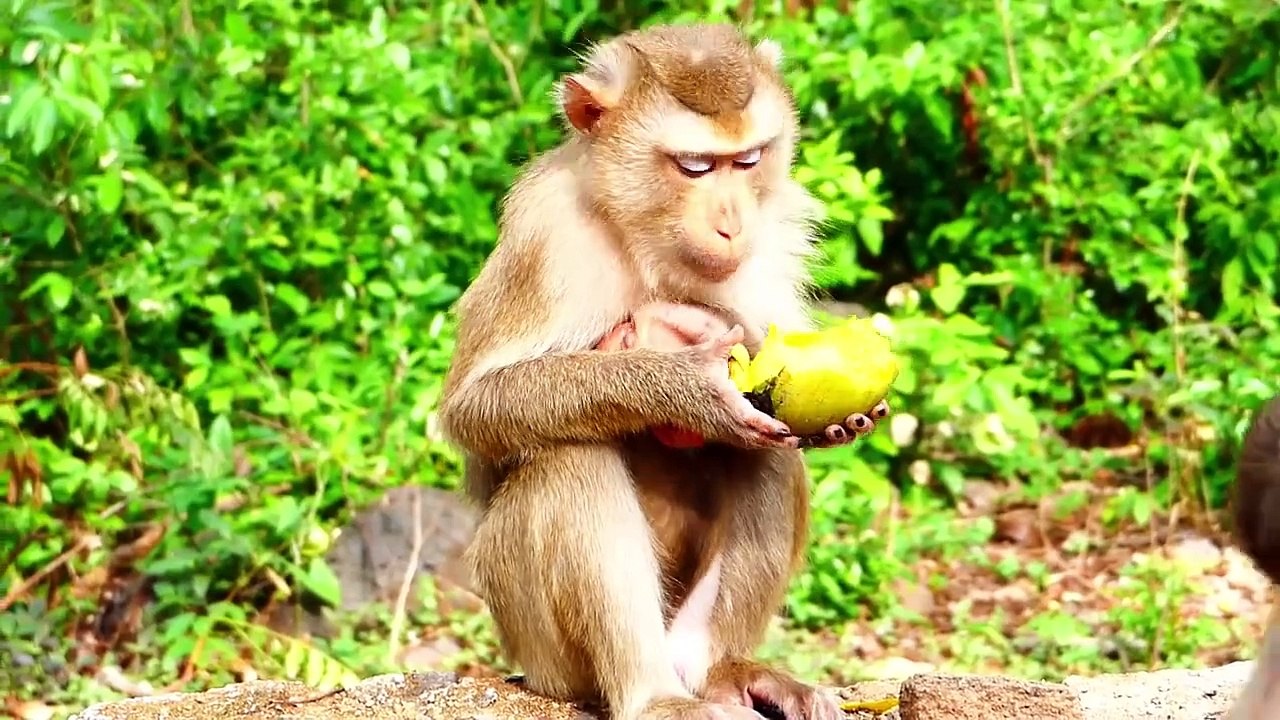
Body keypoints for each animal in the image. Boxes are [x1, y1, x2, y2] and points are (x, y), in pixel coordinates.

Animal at [436, 23, 890, 720]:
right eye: (695, 166)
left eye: (748, 160)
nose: (731, 222)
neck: (642, 237)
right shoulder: (547, 234)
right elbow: (477, 405)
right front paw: (685, 389)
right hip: (538, 646)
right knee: (570, 459)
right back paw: (651, 693)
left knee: (769, 455)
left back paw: (722, 670)